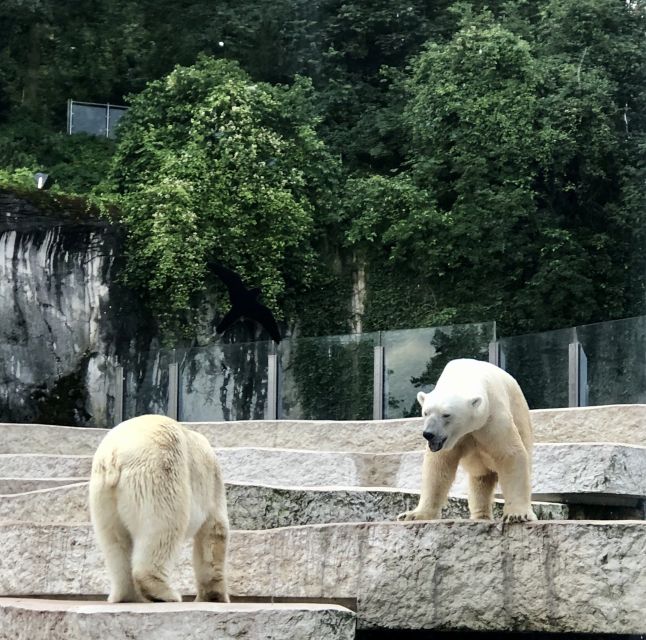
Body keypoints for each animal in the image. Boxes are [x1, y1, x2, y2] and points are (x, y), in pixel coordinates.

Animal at [88, 412, 230, 604]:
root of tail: (114, 455)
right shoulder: (212, 482)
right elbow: (214, 531)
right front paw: (215, 597)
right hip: (160, 472)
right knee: (163, 528)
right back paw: (163, 593)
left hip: (102, 494)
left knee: (114, 541)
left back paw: (127, 595)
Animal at [398, 358, 540, 524]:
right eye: (425, 412)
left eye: (446, 415)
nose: (429, 434)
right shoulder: (451, 441)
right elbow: (438, 466)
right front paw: (413, 515)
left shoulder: (492, 419)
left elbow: (510, 455)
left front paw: (517, 515)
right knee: (480, 478)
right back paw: (480, 516)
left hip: (520, 414)